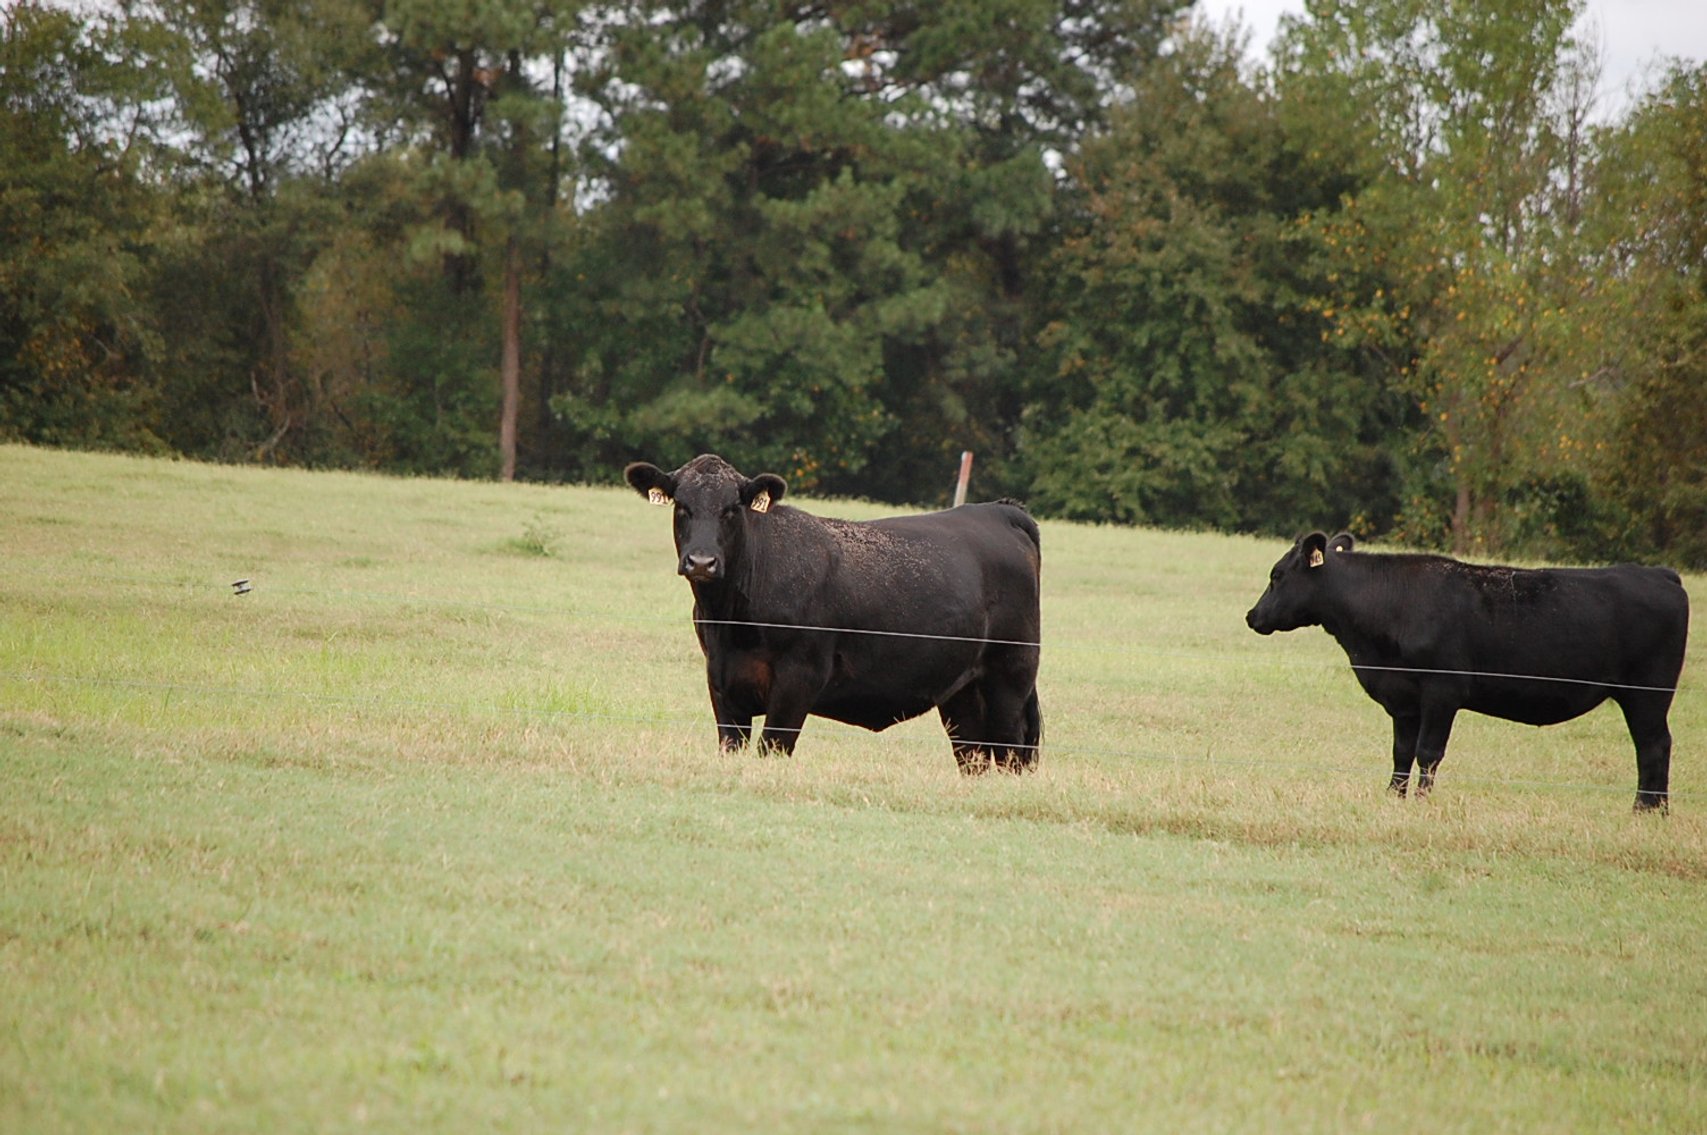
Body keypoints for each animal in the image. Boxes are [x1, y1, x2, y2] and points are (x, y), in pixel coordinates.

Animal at [624, 454, 1043, 772]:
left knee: (1011, 749)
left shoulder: (799, 678)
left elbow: (773, 746)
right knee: (973, 753)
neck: (730, 620)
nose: (701, 562)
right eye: (682, 506)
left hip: (1010, 677)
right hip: (962, 690)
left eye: (731, 509)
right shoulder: (721, 681)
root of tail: (998, 511)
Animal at [1245, 531, 1689, 811]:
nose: (1252, 616)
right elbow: (1401, 751)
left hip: (1648, 695)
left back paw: (1646, 810)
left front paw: (1421, 802)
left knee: (1654, 746)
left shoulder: (1443, 691)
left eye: (1277, 575)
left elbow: (1428, 752)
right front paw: (1393, 797)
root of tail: (1660, 573)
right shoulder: (1404, 700)